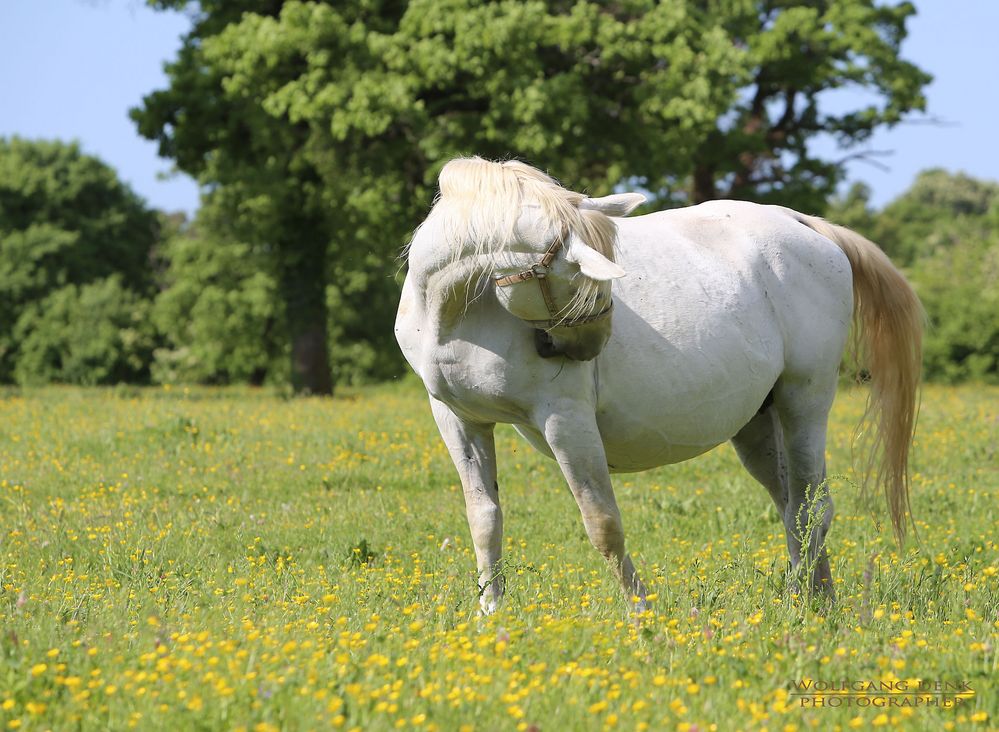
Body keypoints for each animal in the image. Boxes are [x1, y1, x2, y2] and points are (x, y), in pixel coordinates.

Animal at [396, 156, 920, 612]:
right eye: (583, 286)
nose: (591, 347)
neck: (456, 310)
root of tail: (803, 224)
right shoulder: (459, 420)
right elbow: (484, 520)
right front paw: (491, 613)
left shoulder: (566, 421)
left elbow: (603, 525)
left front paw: (642, 615)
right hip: (757, 421)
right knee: (794, 506)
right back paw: (817, 599)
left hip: (803, 401)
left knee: (814, 510)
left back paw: (804, 606)